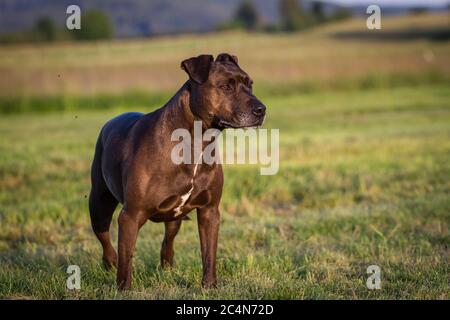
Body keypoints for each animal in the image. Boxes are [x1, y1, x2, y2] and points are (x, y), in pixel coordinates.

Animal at [89, 53, 266, 290]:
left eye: (250, 84)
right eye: (226, 86)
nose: (261, 110)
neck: (196, 142)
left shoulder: (210, 211)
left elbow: (209, 253)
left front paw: (209, 285)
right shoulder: (130, 216)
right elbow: (127, 259)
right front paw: (123, 289)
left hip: (174, 216)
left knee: (168, 240)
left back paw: (167, 267)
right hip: (99, 204)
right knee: (104, 238)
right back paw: (110, 262)